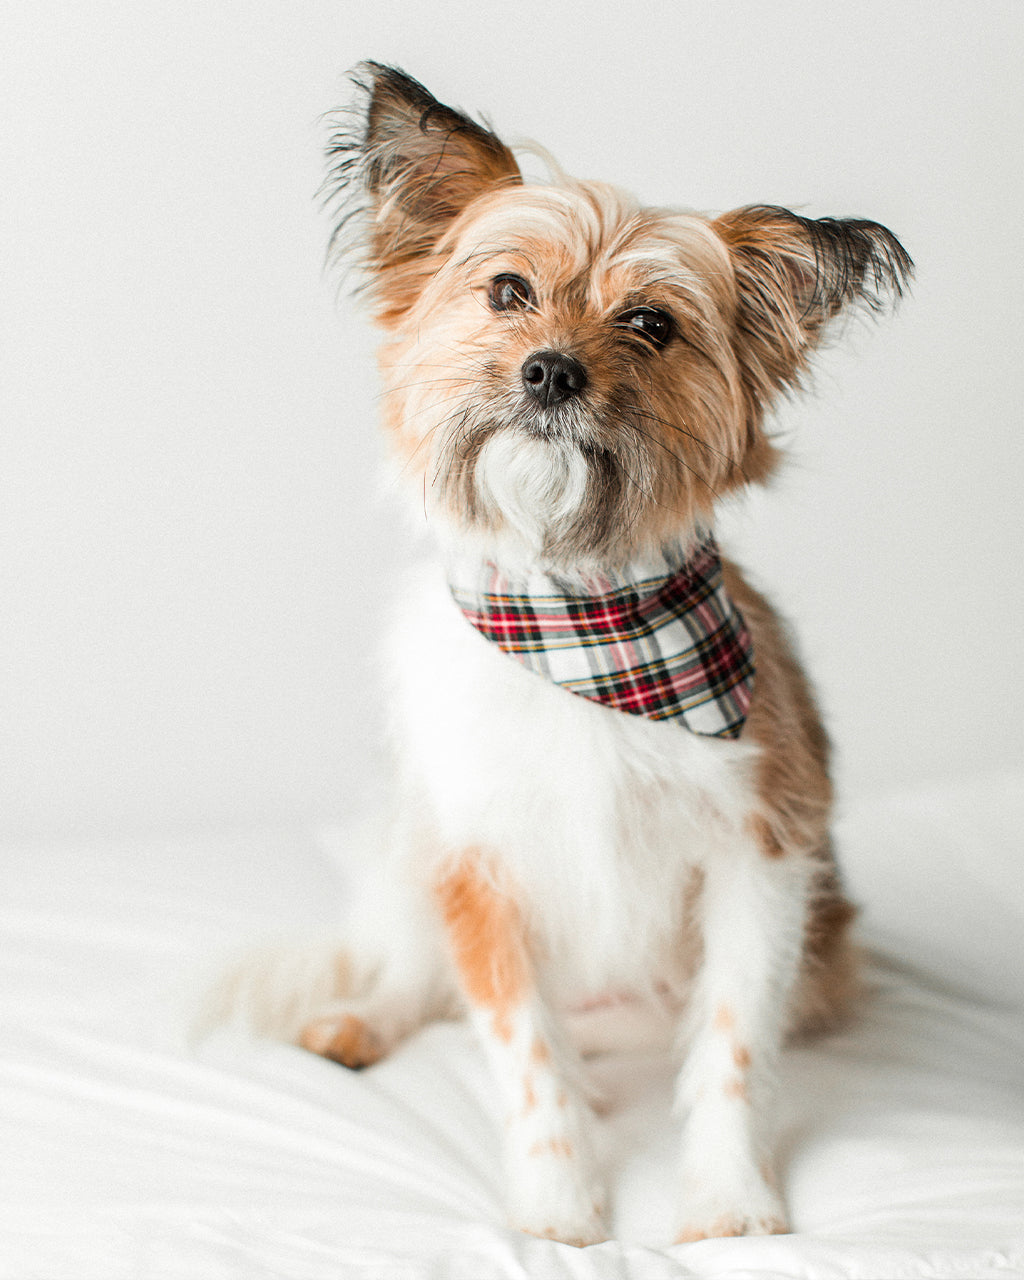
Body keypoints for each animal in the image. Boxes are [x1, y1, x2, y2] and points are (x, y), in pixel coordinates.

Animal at [216, 64, 911, 1244]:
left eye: (650, 322)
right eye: (506, 292)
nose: (548, 373)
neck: (580, 621)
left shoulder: (761, 857)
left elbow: (732, 1048)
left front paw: (728, 1203)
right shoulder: (479, 861)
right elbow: (523, 1048)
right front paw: (556, 1210)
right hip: (411, 845)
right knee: (413, 971)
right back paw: (360, 1019)